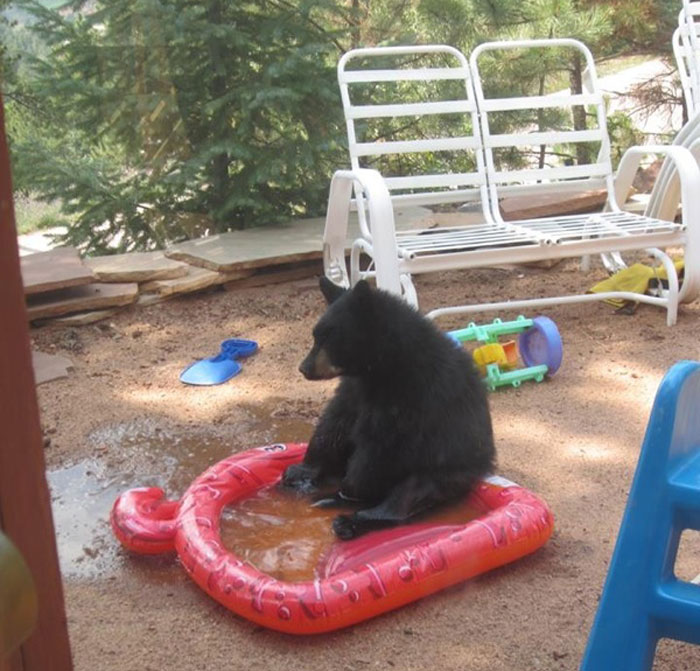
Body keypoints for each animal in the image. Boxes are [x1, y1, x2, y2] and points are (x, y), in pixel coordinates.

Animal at [281, 277, 496, 540]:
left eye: (330, 337)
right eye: (315, 335)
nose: (304, 367)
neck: (384, 366)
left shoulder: (416, 394)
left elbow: (382, 445)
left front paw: (347, 492)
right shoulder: (356, 387)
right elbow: (336, 421)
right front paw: (301, 471)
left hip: (446, 470)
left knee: (407, 495)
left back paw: (347, 517)